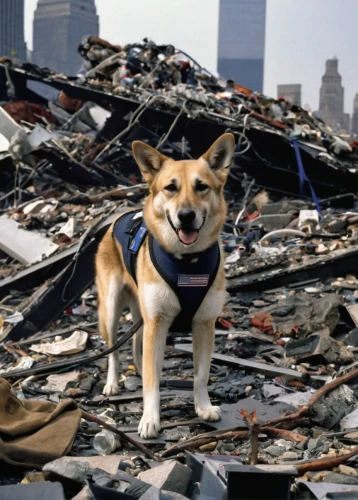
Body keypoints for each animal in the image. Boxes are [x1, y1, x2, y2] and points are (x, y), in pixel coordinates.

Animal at [96, 133, 235, 438]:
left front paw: (203, 407)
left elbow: (200, 374)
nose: (186, 216)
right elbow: (152, 382)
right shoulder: (157, 323)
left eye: (201, 187)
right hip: (111, 309)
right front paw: (150, 419)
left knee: (136, 342)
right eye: (171, 188)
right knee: (114, 350)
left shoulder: (204, 324)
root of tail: (117, 219)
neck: (187, 260)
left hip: (143, 315)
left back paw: (138, 368)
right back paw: (112, 383)